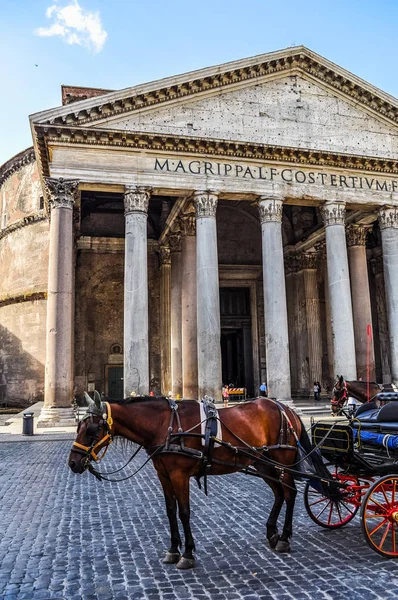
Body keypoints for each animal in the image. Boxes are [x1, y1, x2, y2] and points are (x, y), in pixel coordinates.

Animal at [68, 396, 330, 568]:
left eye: (91, 430)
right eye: (78, 426)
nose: (73, 463)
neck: (166, 425)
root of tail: (286, 408)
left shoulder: (179, 474)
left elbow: (184, 512)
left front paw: (188, 554)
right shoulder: (163, 474)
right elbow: (170, 510)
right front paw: (173, 550)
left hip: (282, 458)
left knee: (290, 493)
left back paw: (284, 538)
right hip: (262, 461)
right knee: (279, 493)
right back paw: (272, 534)